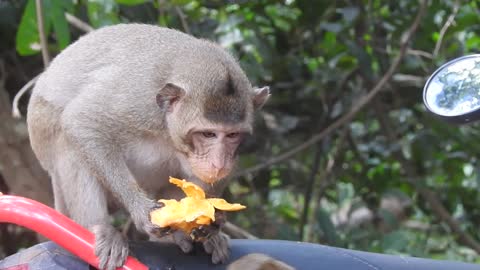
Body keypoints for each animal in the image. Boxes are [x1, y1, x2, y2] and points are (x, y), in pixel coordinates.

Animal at [27, 23, 270, 270]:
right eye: (208, 134)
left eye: (232, 135)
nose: (218, 162)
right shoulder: (135, 99)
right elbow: (82, 120)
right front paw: (142, 211)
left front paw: (209, 225)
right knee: (68, 143)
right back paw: (99, 229)